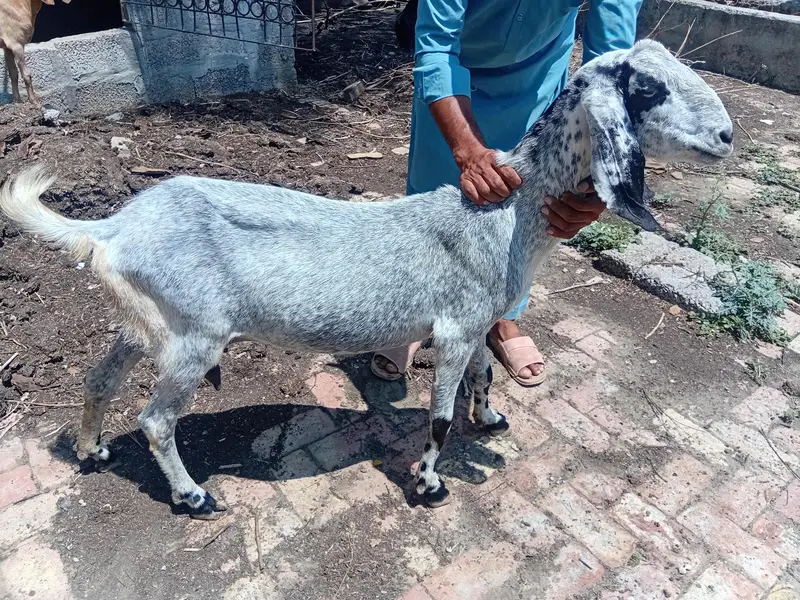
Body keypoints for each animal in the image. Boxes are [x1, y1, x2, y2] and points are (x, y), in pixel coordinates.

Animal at [0, 40, 733, 518]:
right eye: (647, 88)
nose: (727, 135)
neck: (503, 216)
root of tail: (113, 229)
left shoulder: (476, 324)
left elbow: (484, 376)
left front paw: (491, 417)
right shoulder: (455, 326)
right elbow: (439, 420)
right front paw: (431, 486)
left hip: (145, 321)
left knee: (99, 378)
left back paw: (91, 450)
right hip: (193, 335)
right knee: (155, 420)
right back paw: (193, 496)